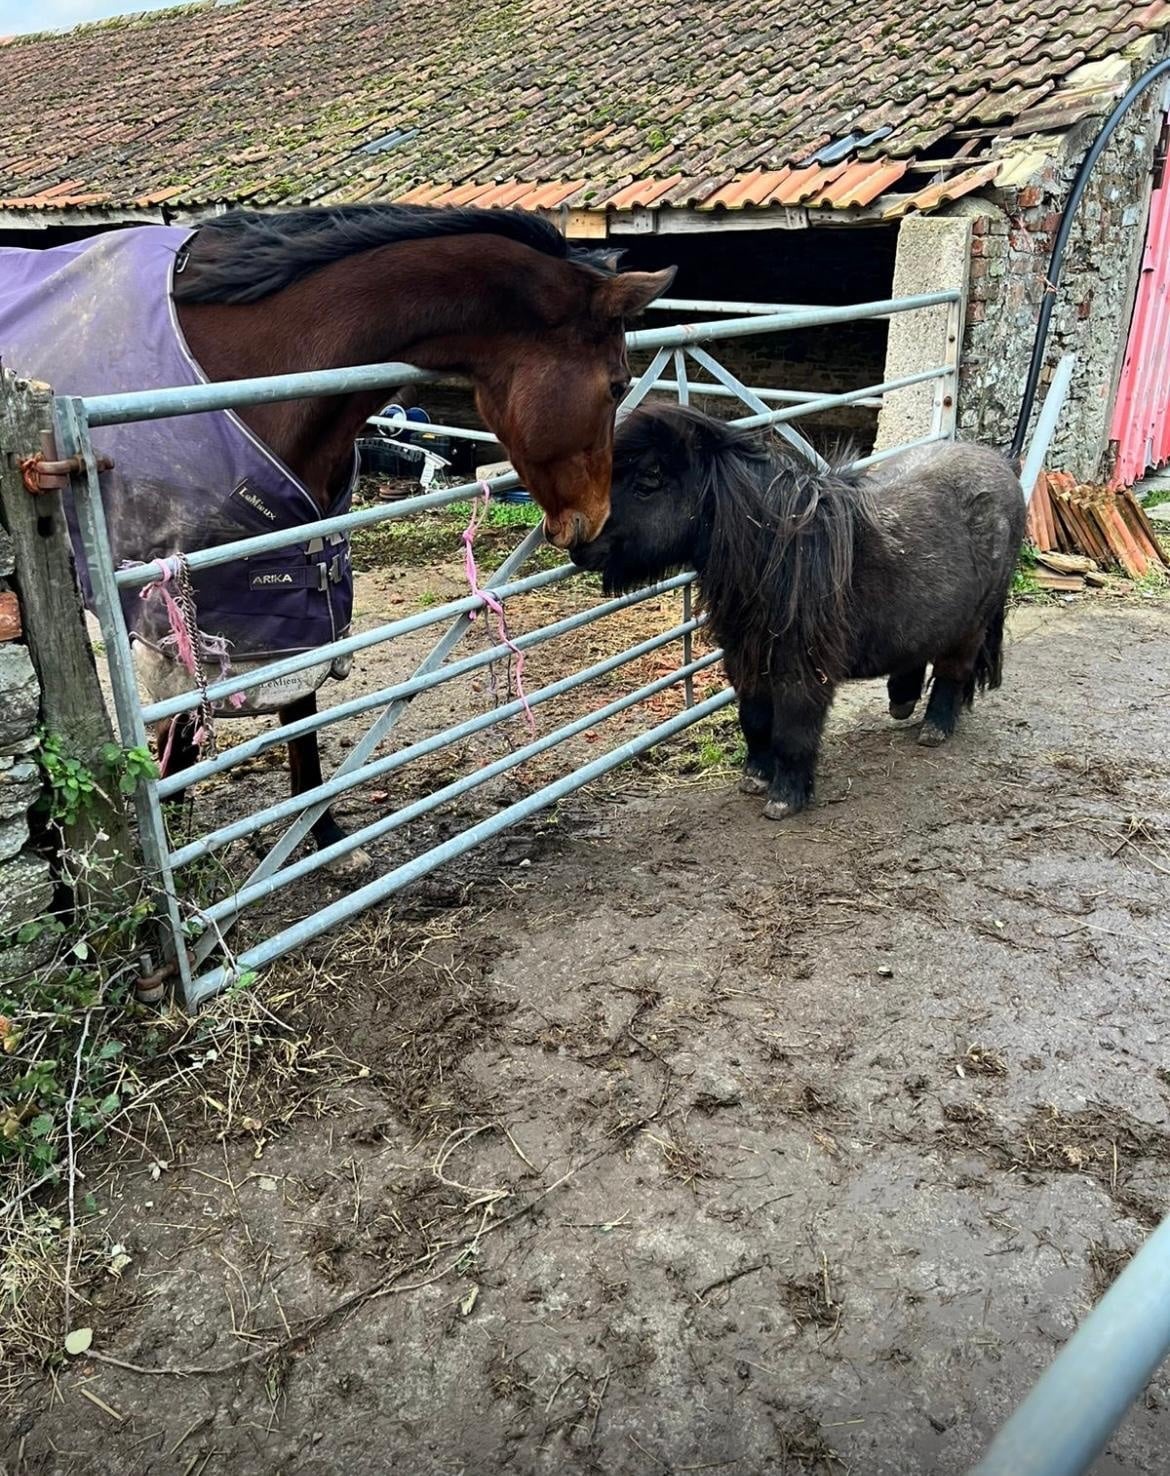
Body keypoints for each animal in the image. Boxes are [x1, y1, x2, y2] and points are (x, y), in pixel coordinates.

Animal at [0, 205, 675, 864]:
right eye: (618, 384)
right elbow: (179, 736)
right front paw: (177, 857)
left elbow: (300, 709)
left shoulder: (291, 589)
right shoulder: (174, 620)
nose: (595, 521)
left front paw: (320, 834)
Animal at [570, 404, 1026, 820]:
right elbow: (754, 721)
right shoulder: (747, 660)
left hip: (971, 626)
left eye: (649, 478)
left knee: (953, 671)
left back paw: (935, 727)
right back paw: (902, 701)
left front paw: (785, 797)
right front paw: (756, 777)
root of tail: (1002, 466)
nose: (577, 540)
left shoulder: (802, 673)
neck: (784, 557)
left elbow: (793, 734)